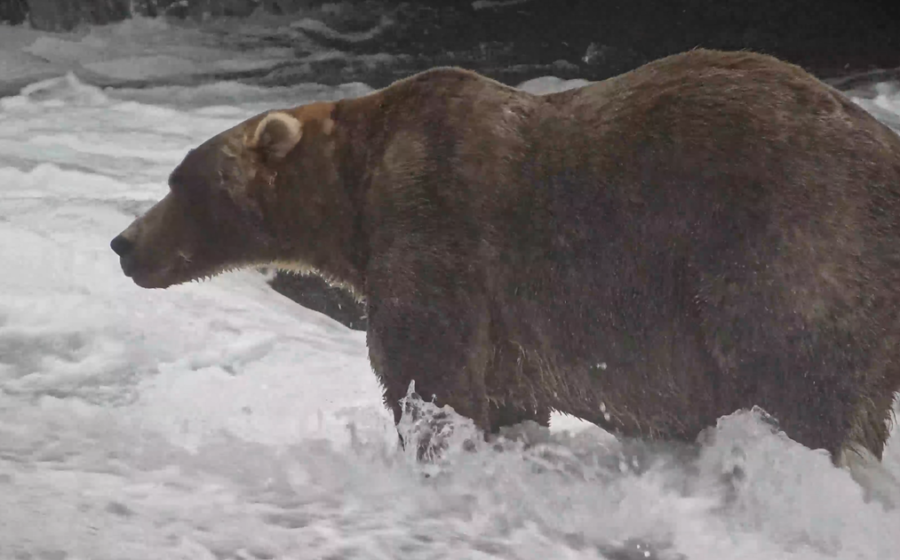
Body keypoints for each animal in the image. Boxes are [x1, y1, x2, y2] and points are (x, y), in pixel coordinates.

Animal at [111, 48, 900, 484]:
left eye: (181, 182)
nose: (123, 243)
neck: (354, 196)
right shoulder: (507, 322)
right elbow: (507, 395)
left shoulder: (436, 225)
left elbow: (428, 372)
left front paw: (435, 449)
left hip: (790, 240)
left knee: (794, 379)